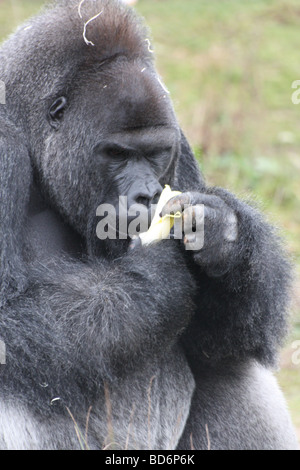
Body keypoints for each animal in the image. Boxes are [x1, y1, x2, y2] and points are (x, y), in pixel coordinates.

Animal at [0, 0, 298, 450]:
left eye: (155, 152)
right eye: (117, 154)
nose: (146, 193)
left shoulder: (180, 142)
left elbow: (218, 338)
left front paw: (225, 237)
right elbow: (9, 311)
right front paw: (155, 278)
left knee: (231, 364)